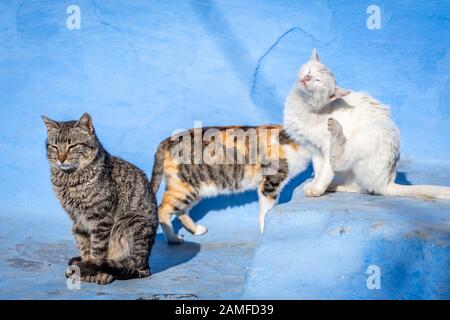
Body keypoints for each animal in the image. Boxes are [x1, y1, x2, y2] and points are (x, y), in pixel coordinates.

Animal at [42, 113, 158, 284]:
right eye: (55, 147)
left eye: (72, 146)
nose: (61, 158)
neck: (69, 180)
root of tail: (146, 264)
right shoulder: (77, 220)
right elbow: (85, 247)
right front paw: (83, 269)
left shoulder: (100, 219)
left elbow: (97, 252)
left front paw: (92, 270)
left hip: (130, 223)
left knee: (126, 264)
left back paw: (108, 272)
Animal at [151, 124, 310, 242]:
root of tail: (167, 141)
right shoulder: (269, 184)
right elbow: (266, 211)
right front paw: (266, 230)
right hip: (184, 187)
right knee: (162, 209)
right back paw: (173, 238)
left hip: (197, 189)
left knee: (181, 211)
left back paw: (196, 230)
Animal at [284, 48, 450, 200]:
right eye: (309, 71)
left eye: (318, 81)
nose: (307, 77)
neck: (303, 107)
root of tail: (387, 181)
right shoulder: (315, 149)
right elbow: (319, 170)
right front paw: (316, 184)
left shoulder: (324, 146)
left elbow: (326, 171)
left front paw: (316, 189)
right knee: (359, 187)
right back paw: (333, 185)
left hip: (368, 134)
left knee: (343, 167)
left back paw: (336, 131)